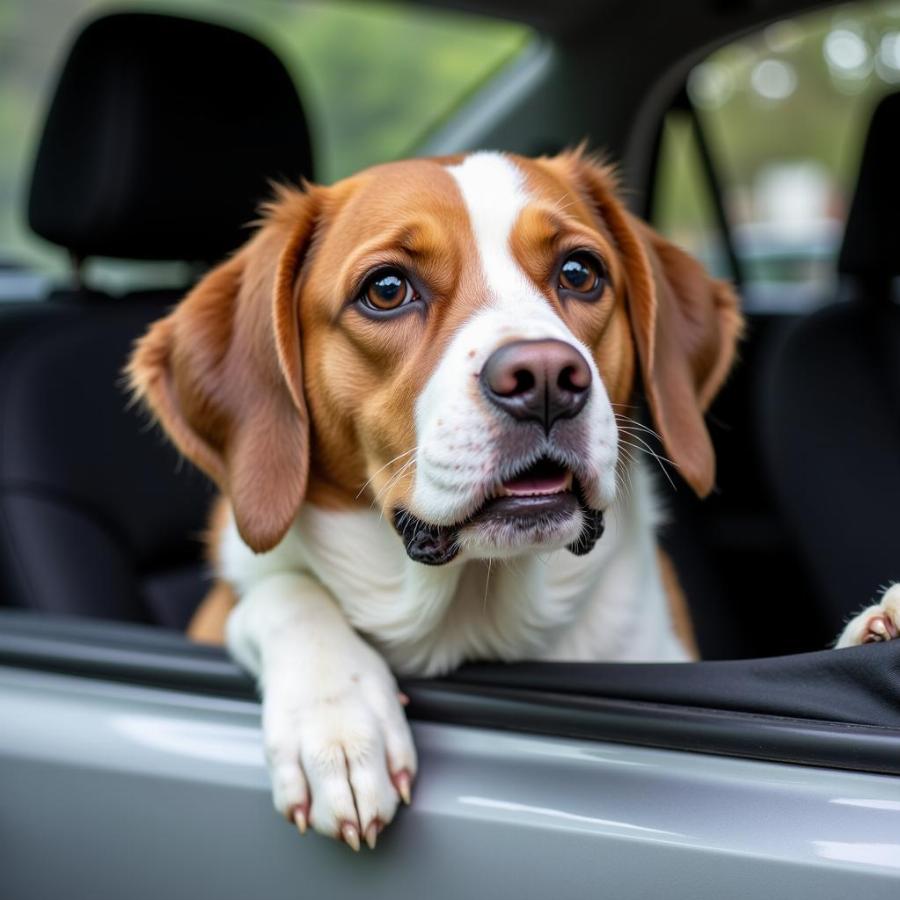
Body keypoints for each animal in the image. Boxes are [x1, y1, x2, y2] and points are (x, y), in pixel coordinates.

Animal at [128, 148, 900, 852]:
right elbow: (282, 593)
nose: (548, 378)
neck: (476, 612)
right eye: (387, 289)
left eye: (580, 272)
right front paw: (338, 722)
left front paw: (881, 624)